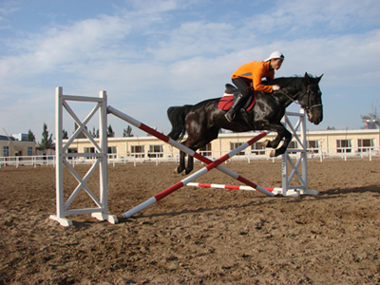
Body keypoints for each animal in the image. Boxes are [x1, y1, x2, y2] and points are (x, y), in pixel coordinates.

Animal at [168, 71, 322, 173]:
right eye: (312, 93)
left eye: (320, 93)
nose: (318, 118)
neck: (274, 97)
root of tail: (191, 109)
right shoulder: (262, 122)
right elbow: (284, 132)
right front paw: (271, 145)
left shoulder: (273, 123)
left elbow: (286, 134)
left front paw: (274, 149)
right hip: (198, 134)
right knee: (184, 145)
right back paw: (180, 168)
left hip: (207, 135)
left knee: (190, 148)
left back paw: (188, 168)